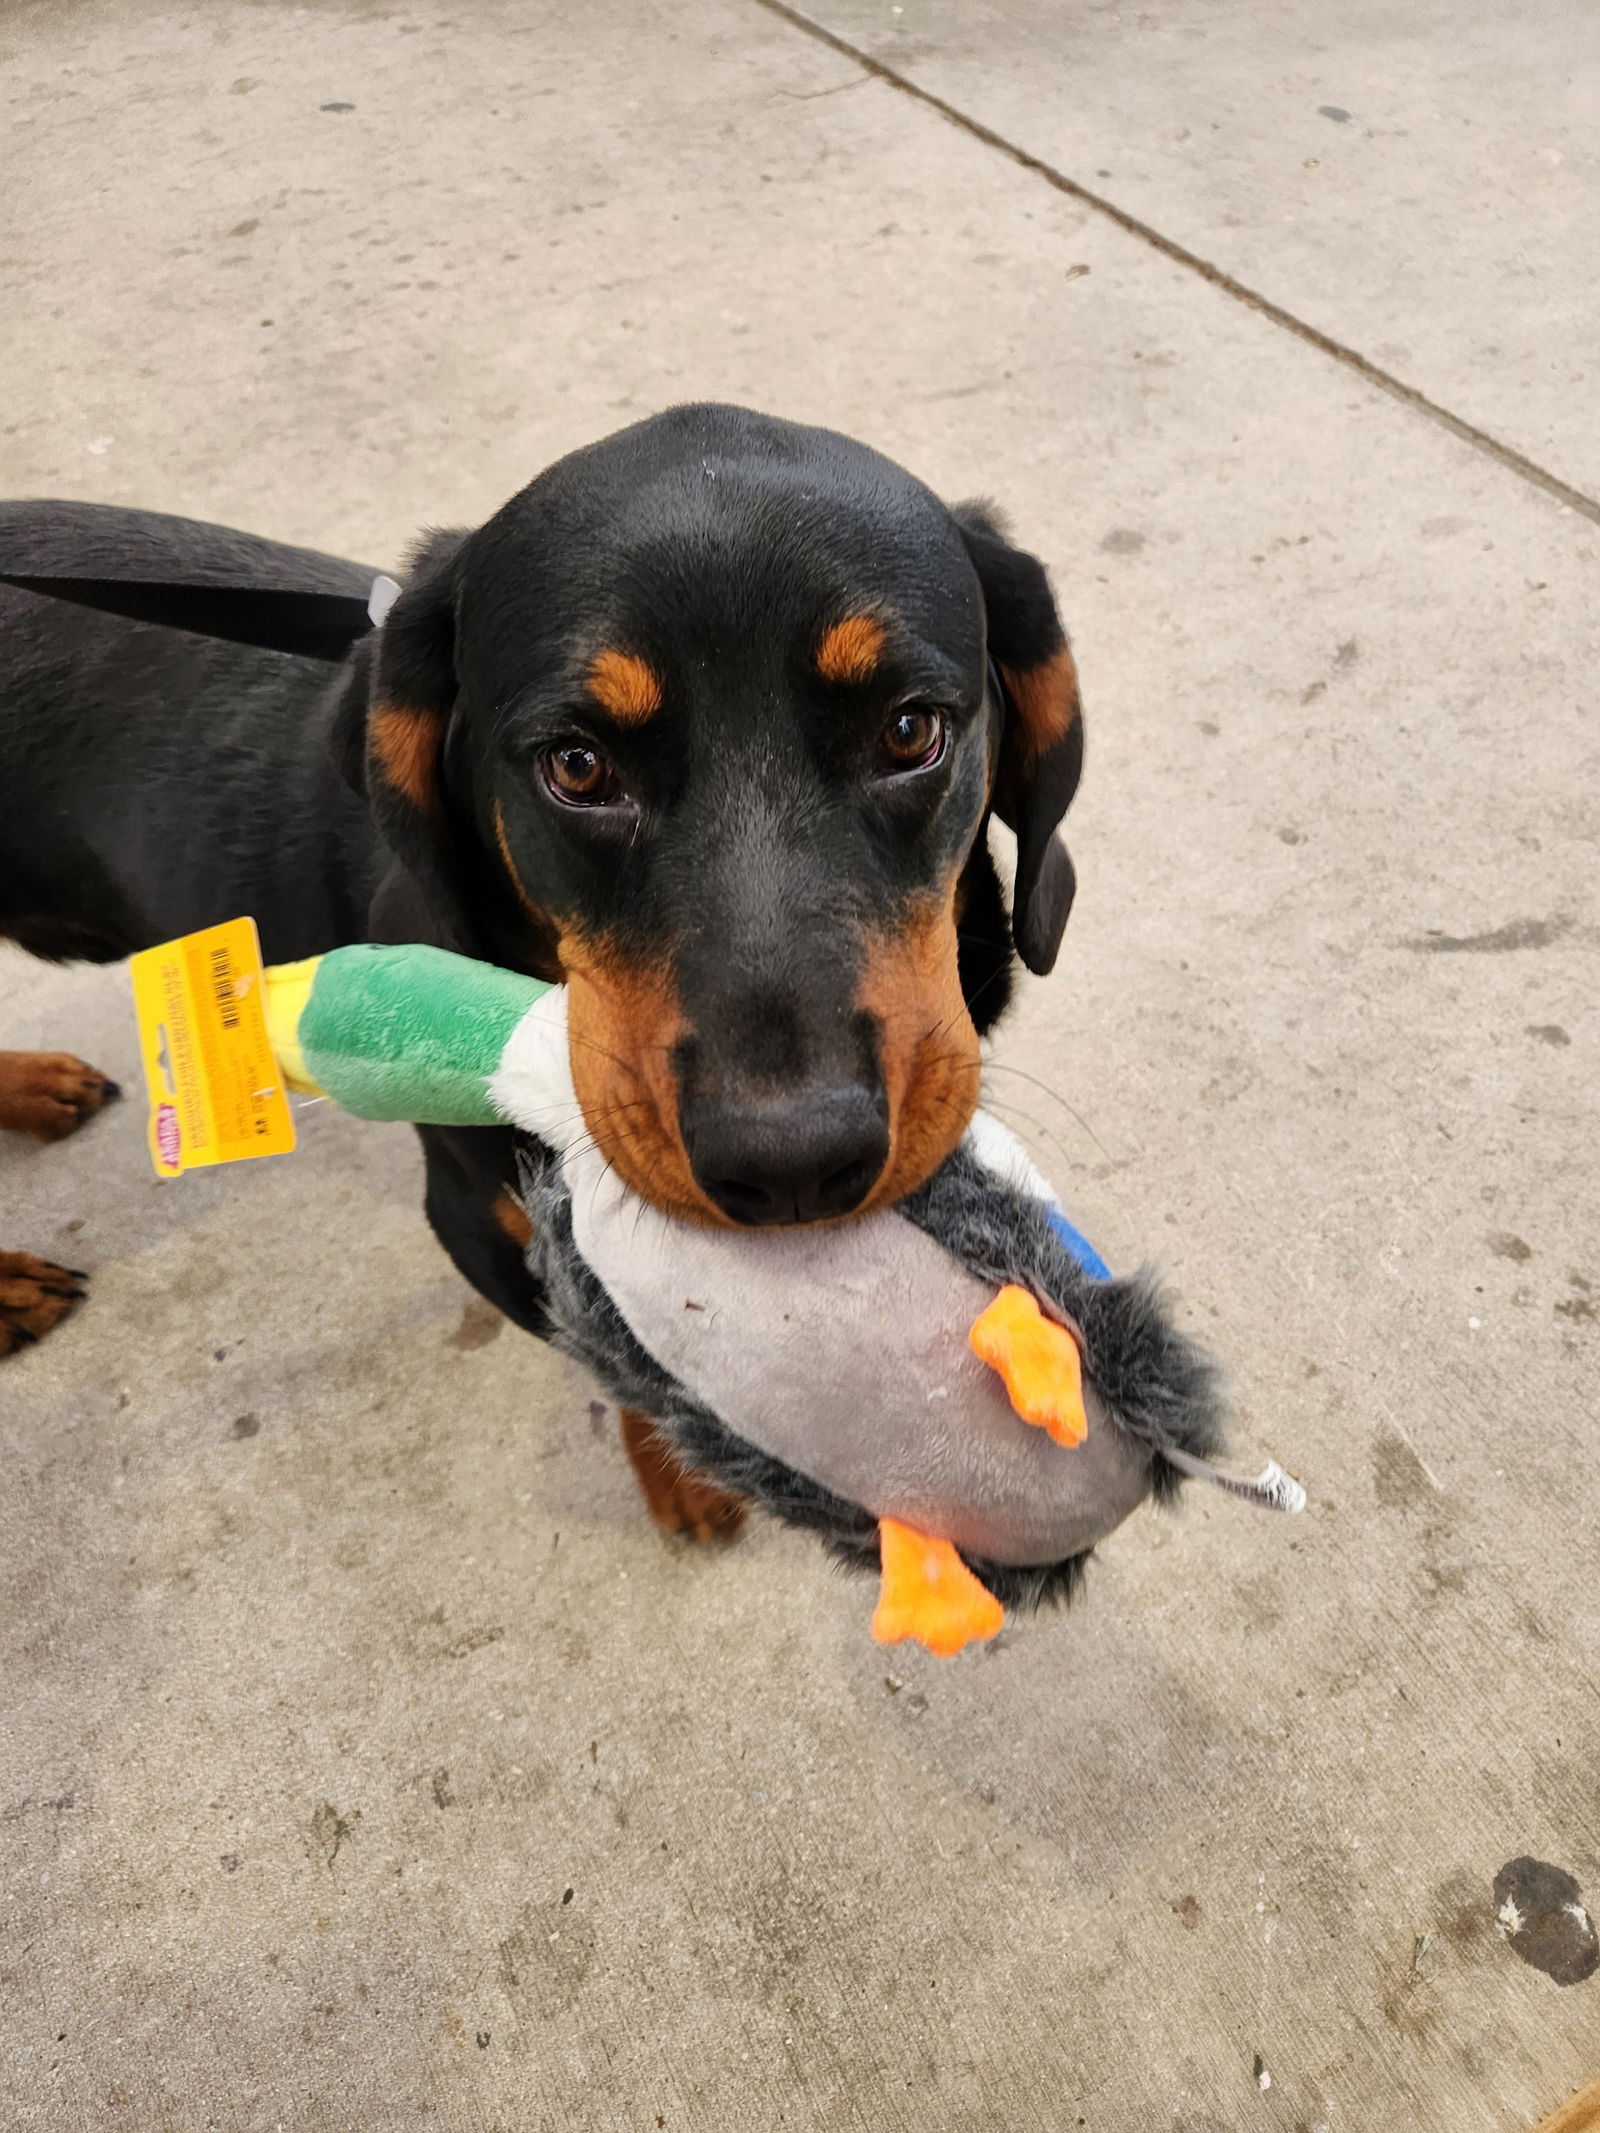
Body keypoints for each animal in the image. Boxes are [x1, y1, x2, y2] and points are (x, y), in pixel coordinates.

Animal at [0, 403, 1083, 1535]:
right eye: (577, 765)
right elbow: (619, 1356)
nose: (794, 1164)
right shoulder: (484, 1231)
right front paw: (682, 1473)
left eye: (909, 728)